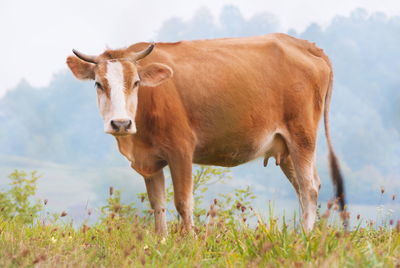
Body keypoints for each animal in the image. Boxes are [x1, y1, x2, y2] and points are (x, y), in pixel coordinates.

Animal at [67, 33, 346, 234]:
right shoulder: (150, 160)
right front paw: (161, 242)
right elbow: (158, 204)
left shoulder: (181, 149)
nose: (121, 123)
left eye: (135, 83)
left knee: (309, 187)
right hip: (285, 147)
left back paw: (305, 237)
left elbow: (183, 202)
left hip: (302, 135)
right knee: (302, 188)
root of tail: (303, 44)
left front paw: (188, 242)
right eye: (98, 84)